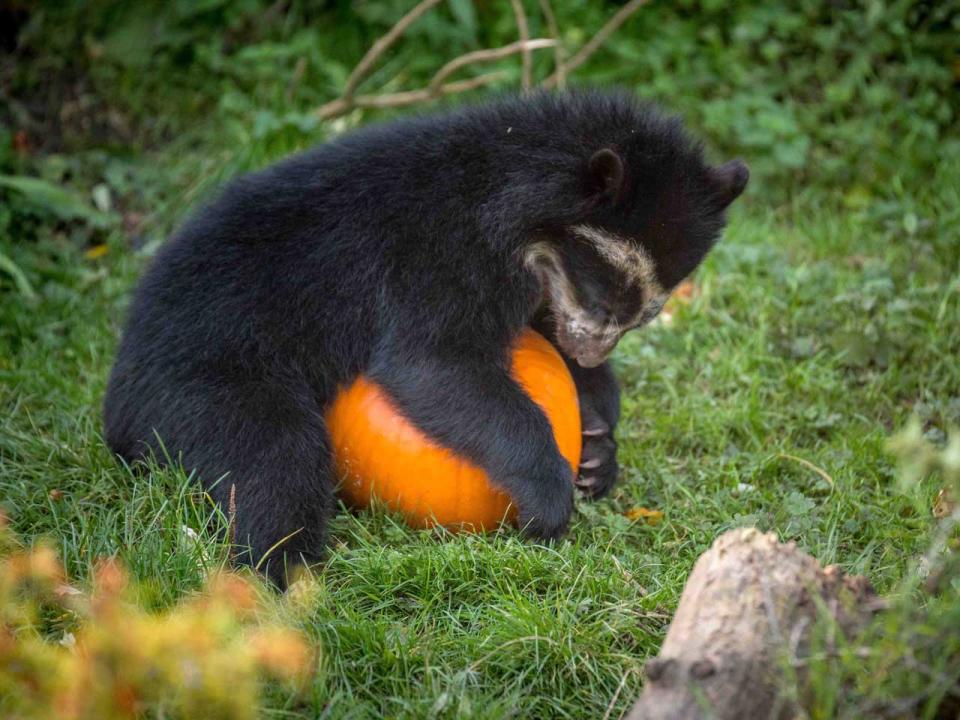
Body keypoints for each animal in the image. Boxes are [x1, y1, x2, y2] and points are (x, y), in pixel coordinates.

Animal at [105, 90, 752, 584]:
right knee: (274, 460)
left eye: (646, 312)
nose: (588, 351)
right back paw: (282, 579)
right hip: (209, 376)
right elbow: (436, 365)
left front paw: (596, 447)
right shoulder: (437, 258)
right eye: (607, 292)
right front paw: (550, 496)